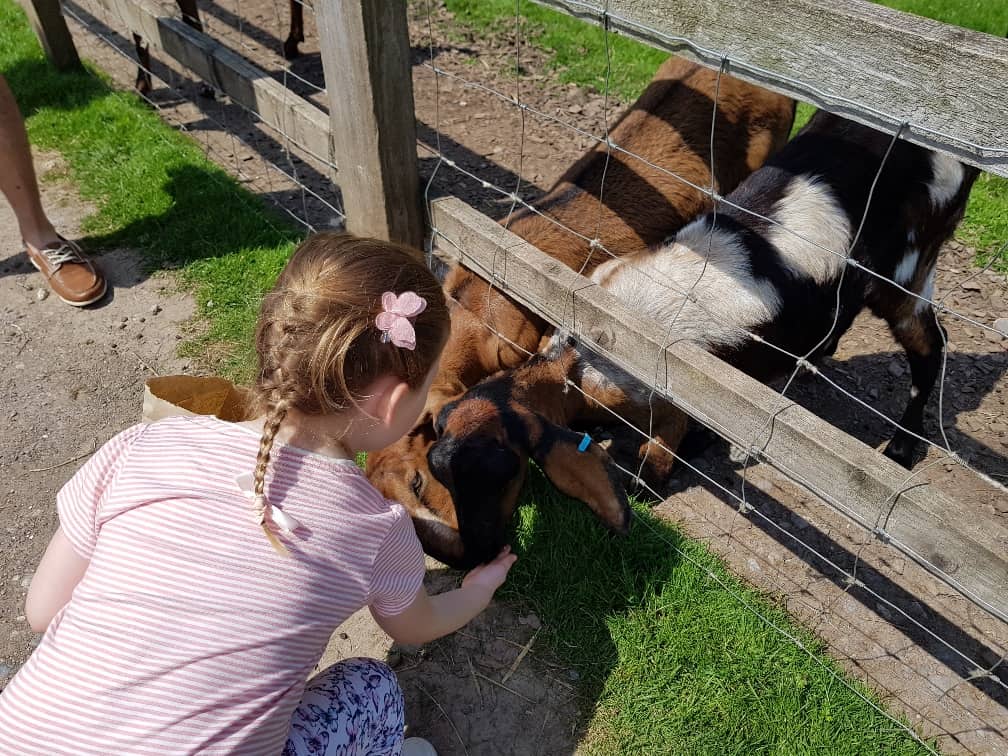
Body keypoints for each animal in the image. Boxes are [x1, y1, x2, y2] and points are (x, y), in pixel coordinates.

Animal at [429, 107, 979, 568]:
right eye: (439, 468)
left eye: (504, 470)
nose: (474, 555)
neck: (587, 361)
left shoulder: (674, 401)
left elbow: (655, 462)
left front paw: (662, 473)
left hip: (910, 269)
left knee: (934, 343)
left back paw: (900, 451)